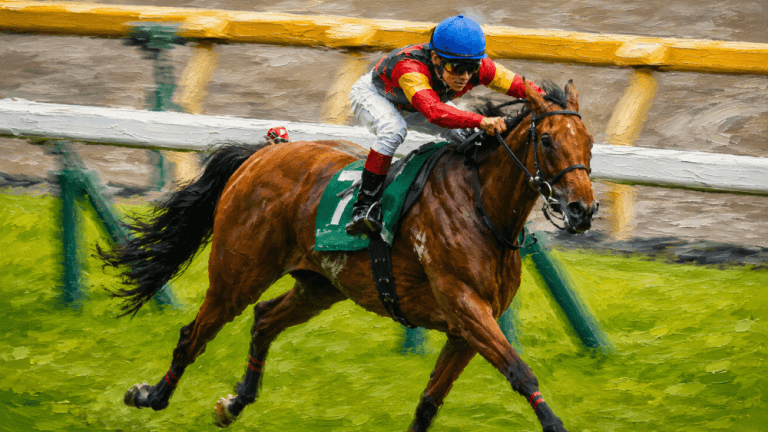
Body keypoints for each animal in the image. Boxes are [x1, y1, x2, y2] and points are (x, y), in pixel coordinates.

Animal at [100, 80, 597, 432]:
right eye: (547, 140)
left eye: (589, 141)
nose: (582, 210)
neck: (479, 207)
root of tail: (261, 155)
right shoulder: (465, 306)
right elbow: (521, 373)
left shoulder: (466, 327)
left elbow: (429, 402)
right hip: (236, 274)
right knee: (195, 334)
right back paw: (149, 396)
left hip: (320, 286)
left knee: (264, 319)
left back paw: (235, 403)